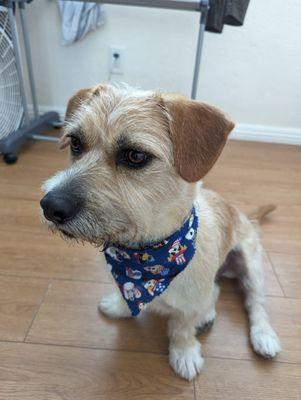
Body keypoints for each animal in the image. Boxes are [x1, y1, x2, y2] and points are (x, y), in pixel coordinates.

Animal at [39, 83, 278, 382]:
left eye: (135, 156)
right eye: (75, 143)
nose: (50, 206)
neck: (148, 256)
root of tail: (245, 215)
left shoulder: (189, 306)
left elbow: (182, 328)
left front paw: (184, 353)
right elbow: (123, 293)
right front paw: (119, 307)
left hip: (251, 267)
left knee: (255, 303)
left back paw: (263, 335)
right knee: (216, 291)